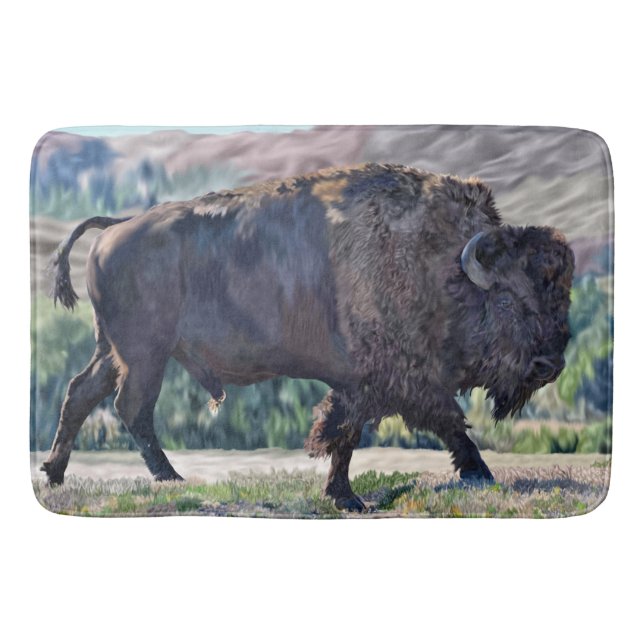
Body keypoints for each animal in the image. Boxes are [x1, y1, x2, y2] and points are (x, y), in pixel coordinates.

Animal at [42, 163, 574, 510]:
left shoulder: (370, 381)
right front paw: (354, 497)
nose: (549, 366)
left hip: (114, 350)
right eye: (507, 300)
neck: (437, 265)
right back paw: (169, 478)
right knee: (130, 405)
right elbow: (400, 425)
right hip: (145, 355)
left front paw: (346, 495)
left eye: (560, 297)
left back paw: (54, 475)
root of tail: (118, 226)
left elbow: (357, 433)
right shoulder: (386, 378)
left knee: (81, 393)